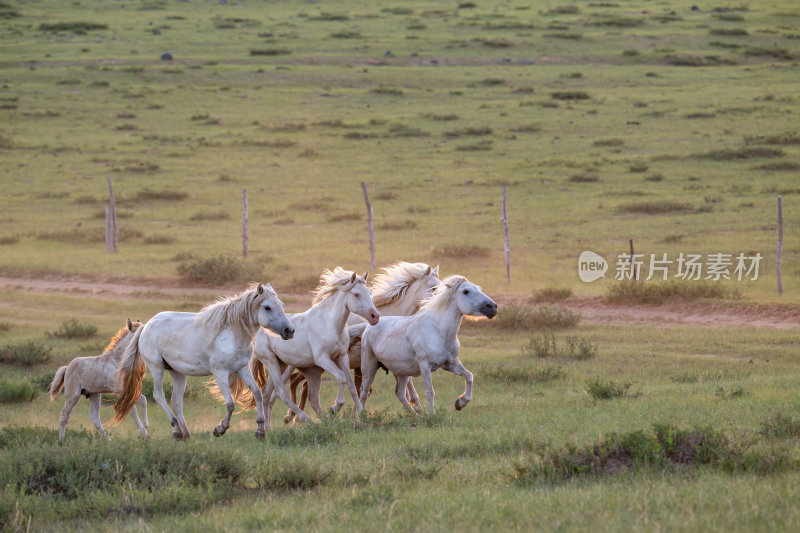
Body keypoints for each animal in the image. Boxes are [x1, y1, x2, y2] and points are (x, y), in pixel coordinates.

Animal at [111, 282, 290, 440]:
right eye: (267, 307)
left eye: (282, 304)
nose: (289, 330)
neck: (231, 335)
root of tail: (146, 326)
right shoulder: (220, 372)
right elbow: (230, 403)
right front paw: (219, 429)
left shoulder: (242, 368)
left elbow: (257, 393)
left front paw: (260, 430)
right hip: (156, 368)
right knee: (159, 396)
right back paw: (176, 430)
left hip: (177, 373)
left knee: (176, 401)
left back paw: (186, 434)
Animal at [248, 268, 380, 426]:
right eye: (356, 294)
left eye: (370, 293)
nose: (375, 316)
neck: (330, 324)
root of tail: (259, 331)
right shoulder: (322, 359)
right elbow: (341, 377)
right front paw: (335, 407)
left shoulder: (342, 356)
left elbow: (351, 386)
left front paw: (361, 413)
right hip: (271, 362)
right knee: (281, 393)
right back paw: (305, 419)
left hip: (282, 364)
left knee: (267, 394)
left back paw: (267, 428)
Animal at [360, 276, 496, 414]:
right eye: (466, 291)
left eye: (479, 288)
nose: (492, 307)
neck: (439, 331)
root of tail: (369, 326)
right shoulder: (425, 365)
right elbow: (430, 392)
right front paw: (432, 414)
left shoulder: (450, 363)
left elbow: (469, 376)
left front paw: (460, 403)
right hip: (369, 369)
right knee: (364, 393)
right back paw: (361, 417)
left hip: (402, 372)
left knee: (400, 394)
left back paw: (416, 415)